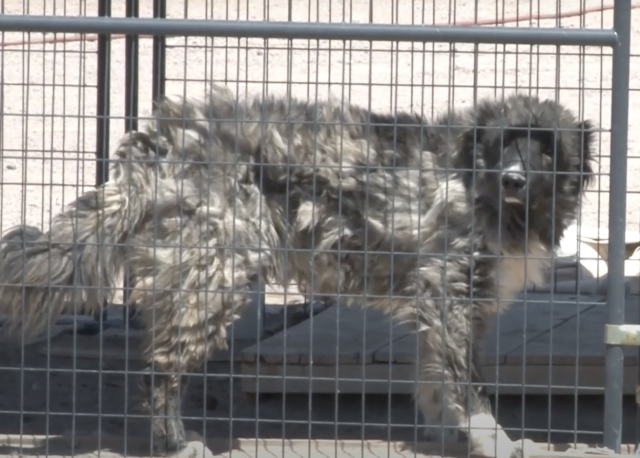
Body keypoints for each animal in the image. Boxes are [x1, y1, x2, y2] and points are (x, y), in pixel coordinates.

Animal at [0, 86, 596, 458]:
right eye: (505, 142)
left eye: (546, 149)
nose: (514, 179)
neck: (477, 184)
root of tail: (164, 141)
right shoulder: (448, 293)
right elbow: (469, 389)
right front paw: (494, 441)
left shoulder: (449, 305)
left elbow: (437, 383)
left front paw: (451, 436)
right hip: (218, 275)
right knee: (159, 369)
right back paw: (173, 441)